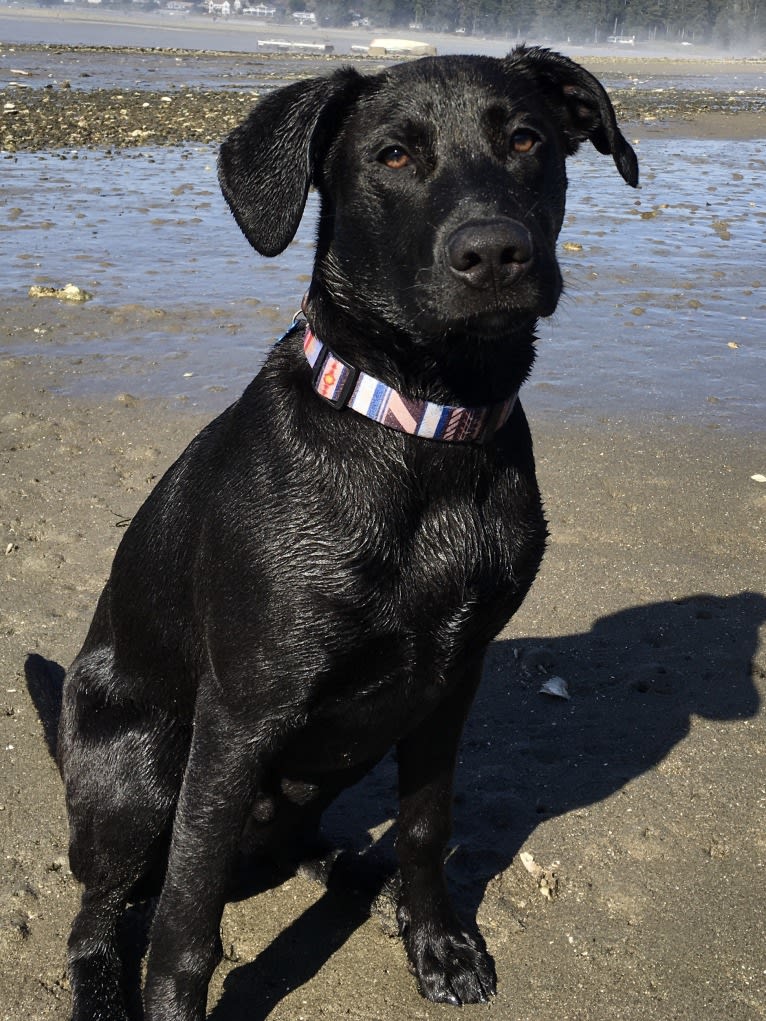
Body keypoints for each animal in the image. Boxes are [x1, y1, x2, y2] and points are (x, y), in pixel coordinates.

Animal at [56, 43, 637, 1016]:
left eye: (527, 139)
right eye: (392, 156)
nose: (494, 251)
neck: (422, 428)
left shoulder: (451, 679)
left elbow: (425, 826)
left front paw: (437, 940)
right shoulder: (238, 717)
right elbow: (186, 916)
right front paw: (176, 1001)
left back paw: (355, 871)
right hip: (137, 766)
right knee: (99, 914)